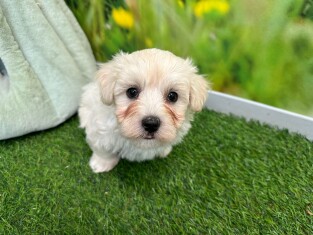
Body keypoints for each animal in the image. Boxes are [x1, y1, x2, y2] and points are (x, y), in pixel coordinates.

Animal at [78, 48, 208, 173]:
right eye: (132, 92)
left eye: (173, 96)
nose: (151, 123)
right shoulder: (100, 131)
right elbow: (102, 149)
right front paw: (101, 164)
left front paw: (164, 150)